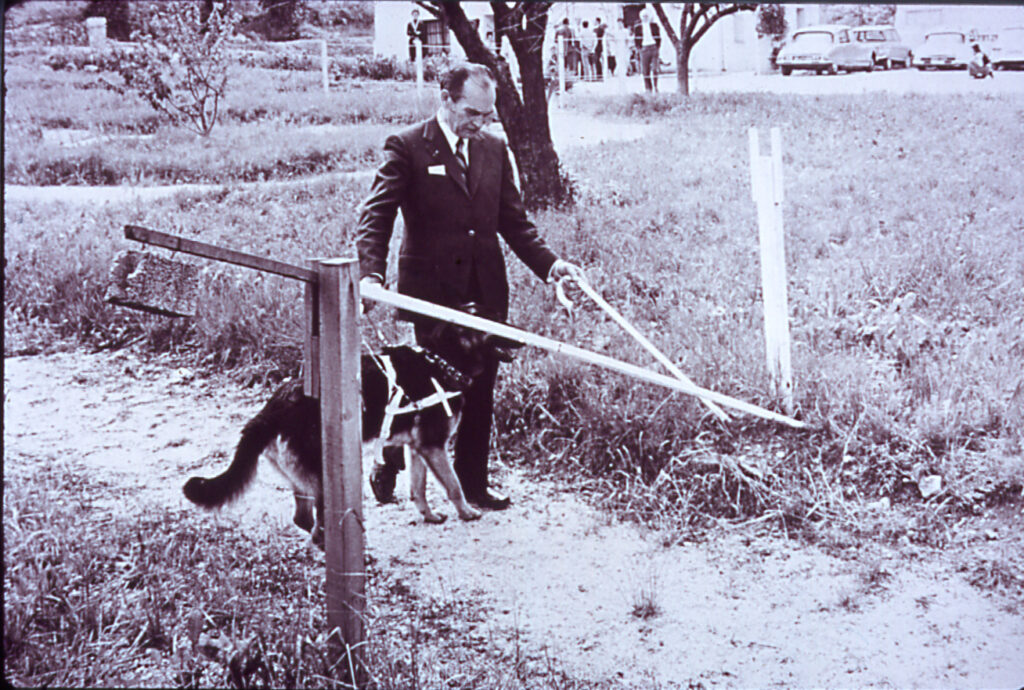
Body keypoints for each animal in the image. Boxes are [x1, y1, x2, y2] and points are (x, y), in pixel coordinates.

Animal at [184, 319, 516, 548]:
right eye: (488, 323)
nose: (519, 332)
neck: (442, 358)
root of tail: (271, 411)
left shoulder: (419, 448)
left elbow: (418, 489)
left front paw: (429, 516)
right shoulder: (435, 447)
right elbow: (454, 484)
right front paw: (467, 512)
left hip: (303, 478)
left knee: (303, 518)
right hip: (323, 476)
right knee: (316, 521)